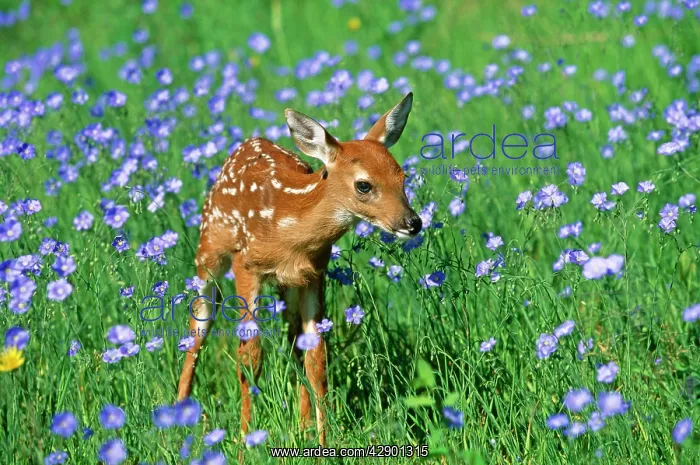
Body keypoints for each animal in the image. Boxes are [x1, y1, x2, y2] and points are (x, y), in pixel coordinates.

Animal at [176, 92, 422, 450]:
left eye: (403, 177)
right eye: (364, 185)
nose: (413, 223)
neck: (289, 230)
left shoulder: (314, 274)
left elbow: (317, 358)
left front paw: (321, 442)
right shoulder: (246, 266)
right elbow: (250, 356)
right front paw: (245, 441)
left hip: (287, 288)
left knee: (294, 341)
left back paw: (302, 425)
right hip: (208, 252)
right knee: (198, 329)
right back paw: (176, 417)